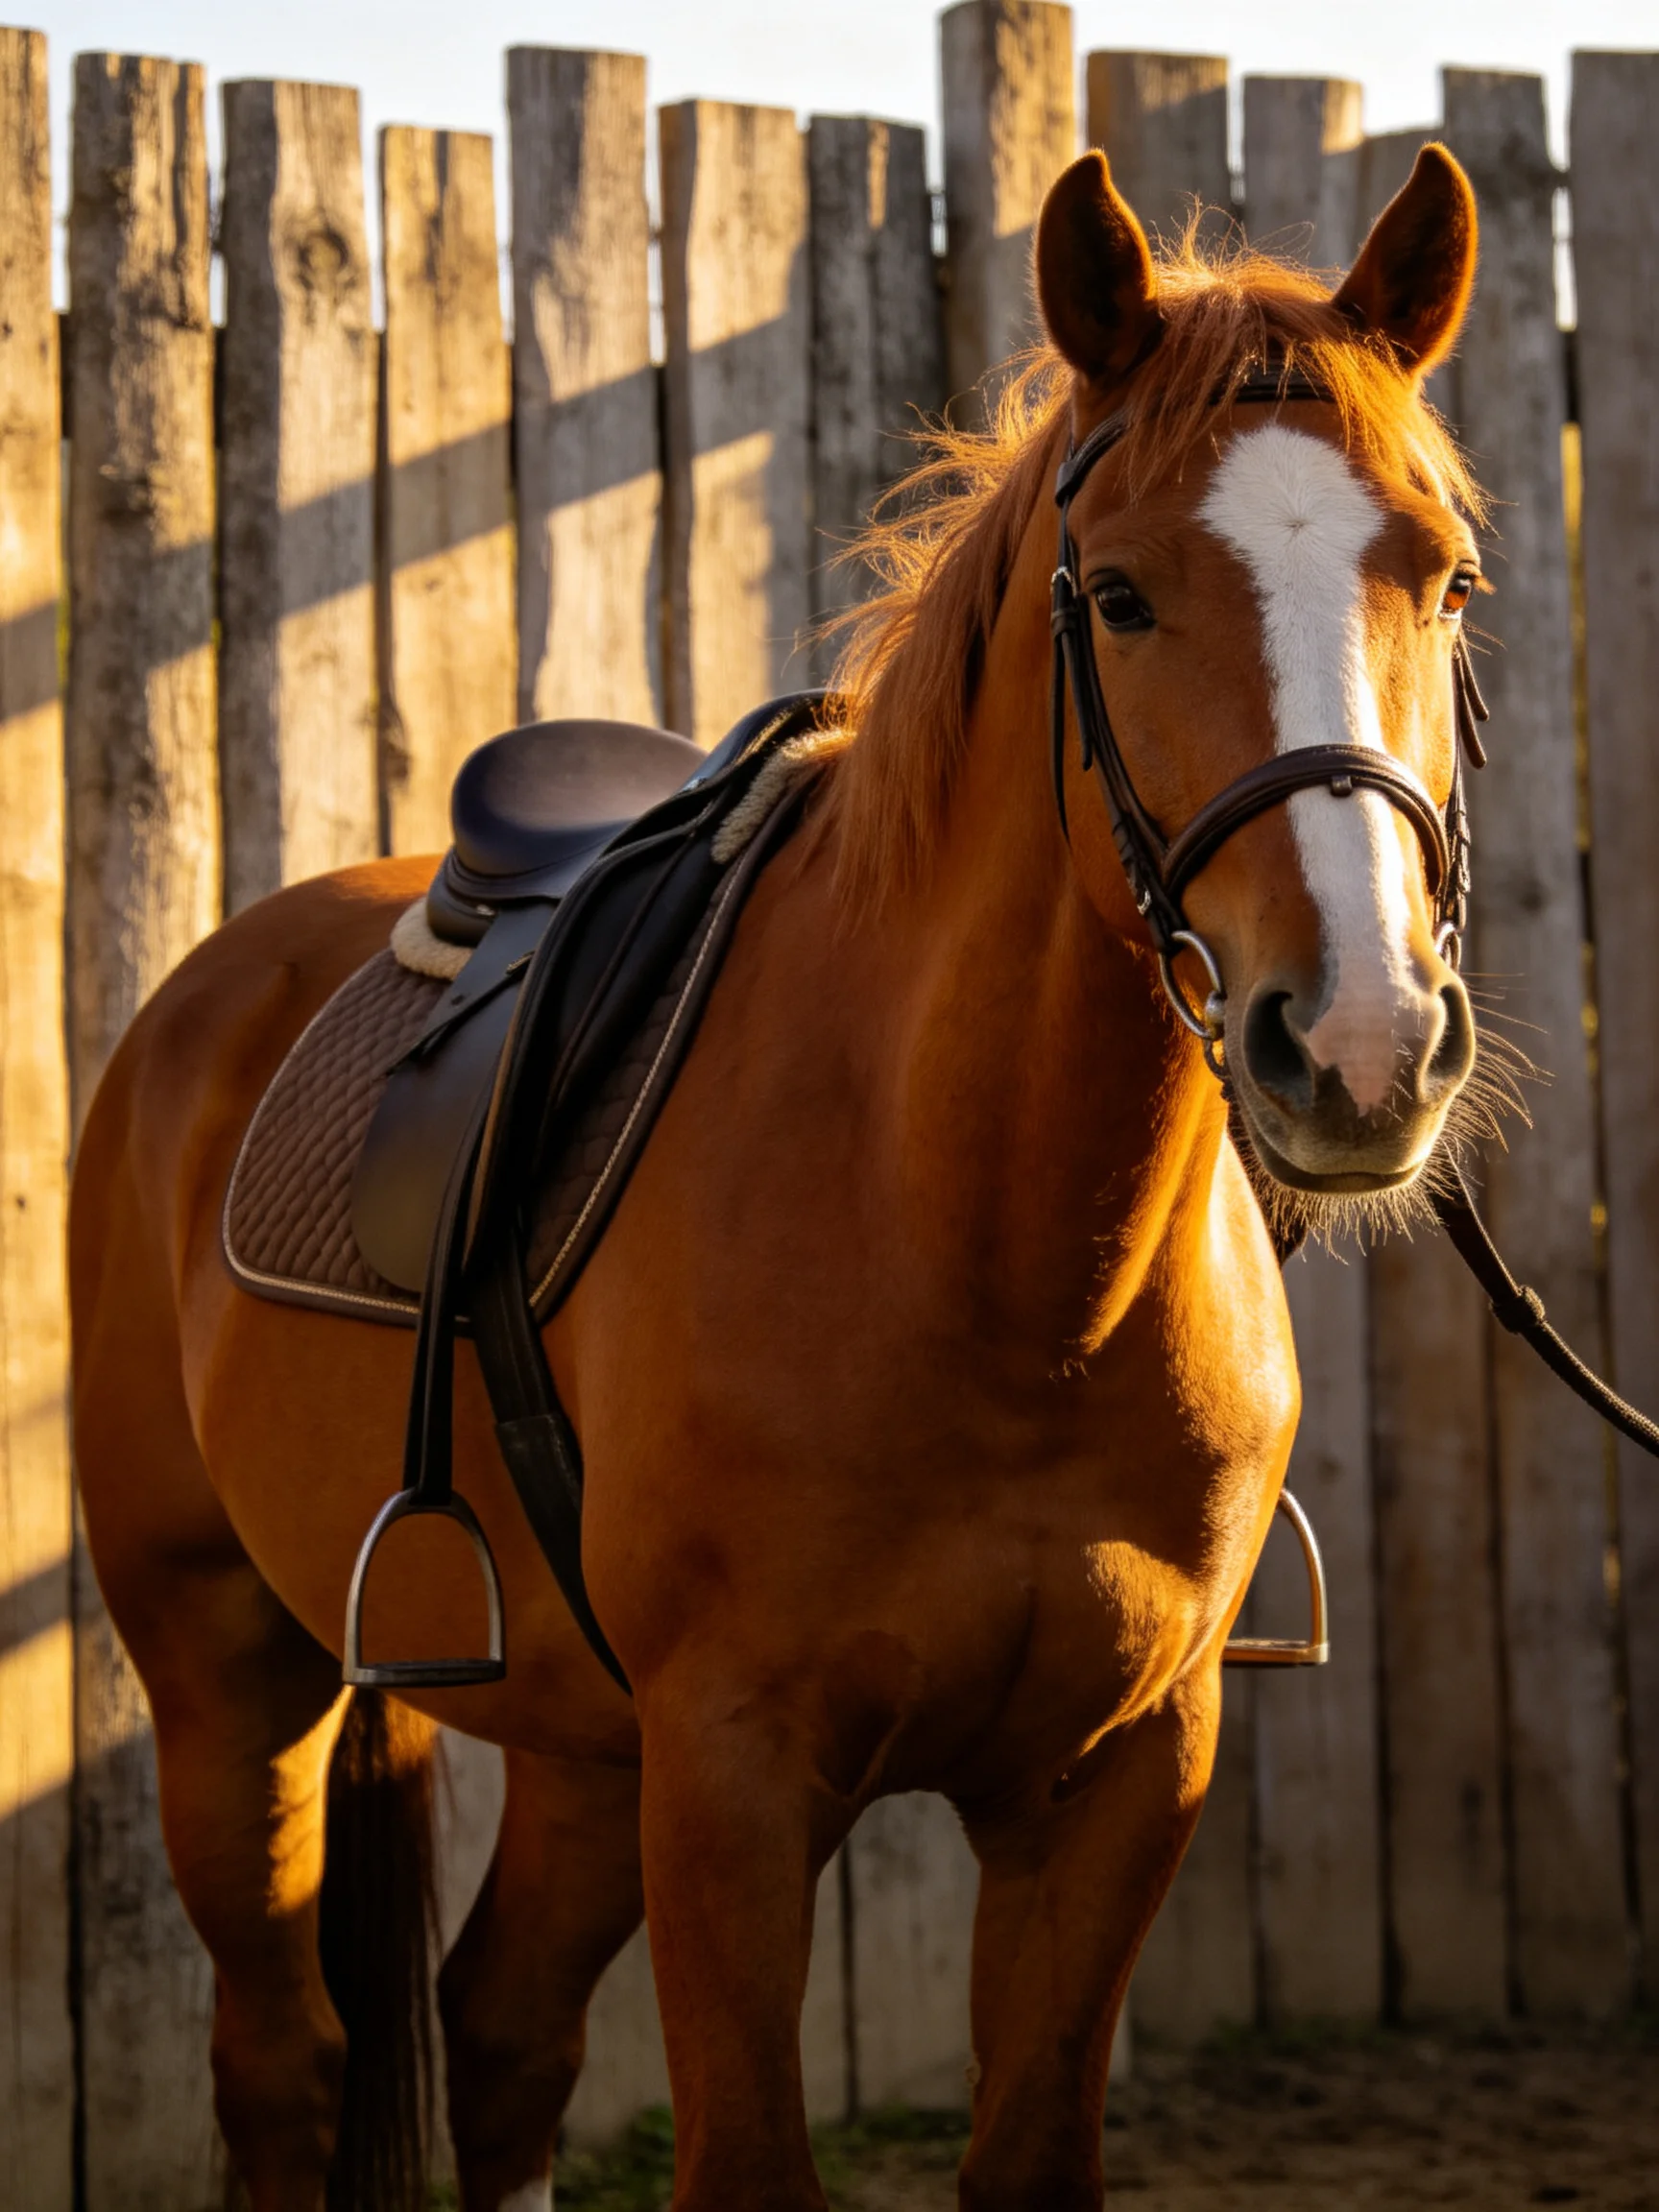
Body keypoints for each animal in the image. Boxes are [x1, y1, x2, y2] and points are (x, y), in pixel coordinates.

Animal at [70, 141, 1489, 2211]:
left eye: (1445, 576)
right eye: (1120, 596)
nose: (1364, 1043)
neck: (986, 1259)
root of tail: (208, 994)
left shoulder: (1114, 1778)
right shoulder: (736, 1774)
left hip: (580, 1747)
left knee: (500, 2033)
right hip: (225, 1679)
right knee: (282, 2062)